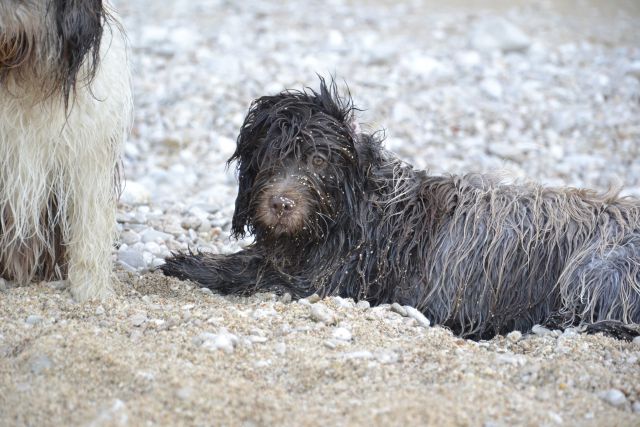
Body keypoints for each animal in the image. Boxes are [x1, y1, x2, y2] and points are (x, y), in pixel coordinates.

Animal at [161, 78, 640, 340]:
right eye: (270, 157)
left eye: (318, 161)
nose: (281, 203)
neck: (360, 210)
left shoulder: (328, 279)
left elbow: (252, 270)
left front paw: (189, 264)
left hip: (597, 267)